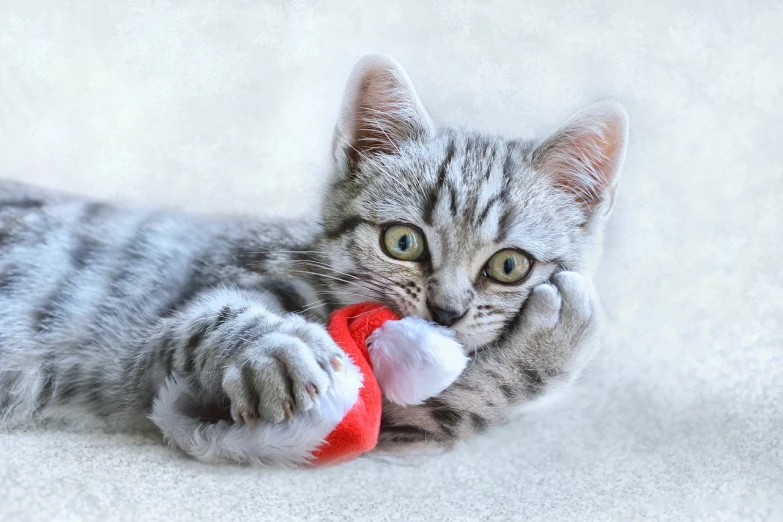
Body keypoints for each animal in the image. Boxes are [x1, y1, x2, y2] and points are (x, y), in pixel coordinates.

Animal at [0, 54, 628, 458]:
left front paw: (551, 339)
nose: (445, 312)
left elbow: (456, 403)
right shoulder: (166, 361)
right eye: (403, 242)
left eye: (508, 266)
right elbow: (212, 320)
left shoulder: (393, 423)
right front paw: (274, 350)